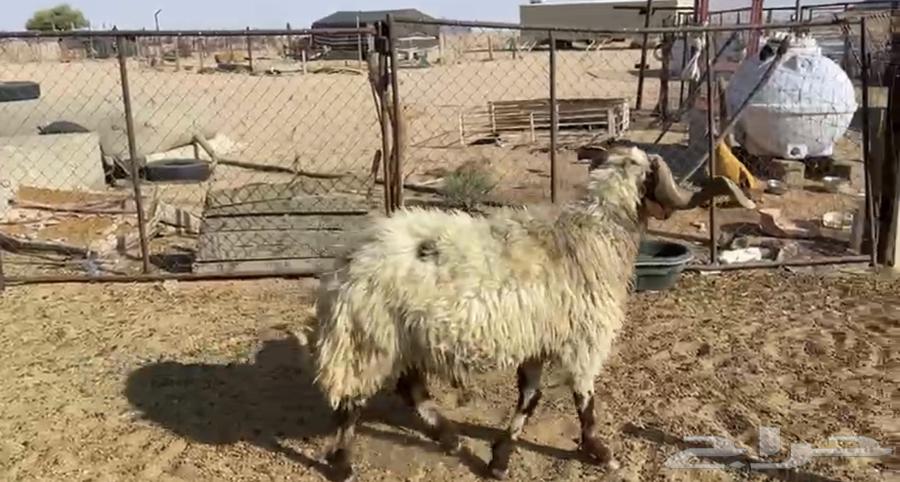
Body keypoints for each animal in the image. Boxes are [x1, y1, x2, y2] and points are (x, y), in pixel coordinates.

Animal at [312, 145, 755, 481]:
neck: (595, 233)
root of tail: (347, 262)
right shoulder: (583, 339)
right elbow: (584, 396)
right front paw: (598, 450)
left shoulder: (538, 341)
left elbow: (530, 396)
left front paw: (500, 457)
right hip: (369, 336)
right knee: (353, 399)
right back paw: (343, 463)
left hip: (404, 337)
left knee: (410, 389)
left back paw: (449, 438)